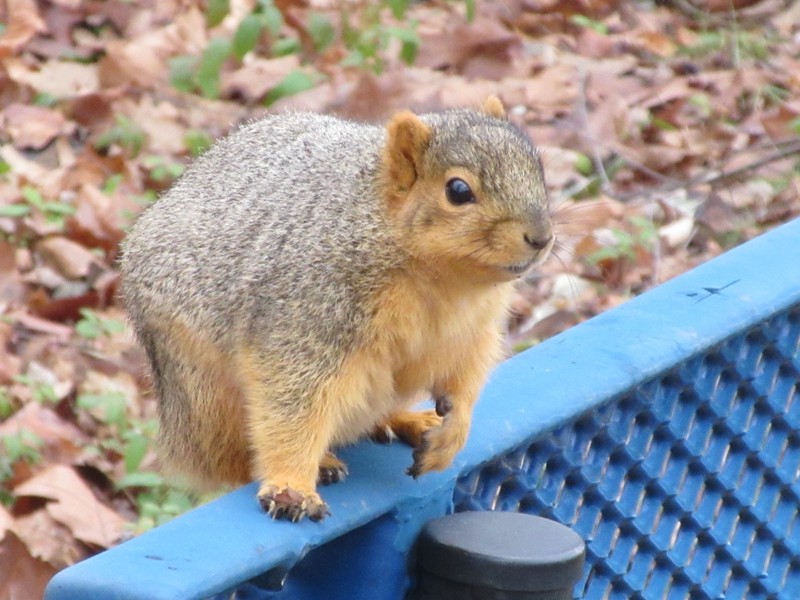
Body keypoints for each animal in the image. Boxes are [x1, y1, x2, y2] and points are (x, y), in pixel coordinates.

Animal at [120, 97, 554, 522]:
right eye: (458, 190)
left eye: (538, 168)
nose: (541, 237)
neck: (442, 283)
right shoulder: (307, 317)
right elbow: (293, 403)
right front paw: (291, 485)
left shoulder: (470, 333)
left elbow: (464, 382)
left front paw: (452, 433)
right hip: (205, 390)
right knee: (233, 458)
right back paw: (320, 462)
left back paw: (407, 420)